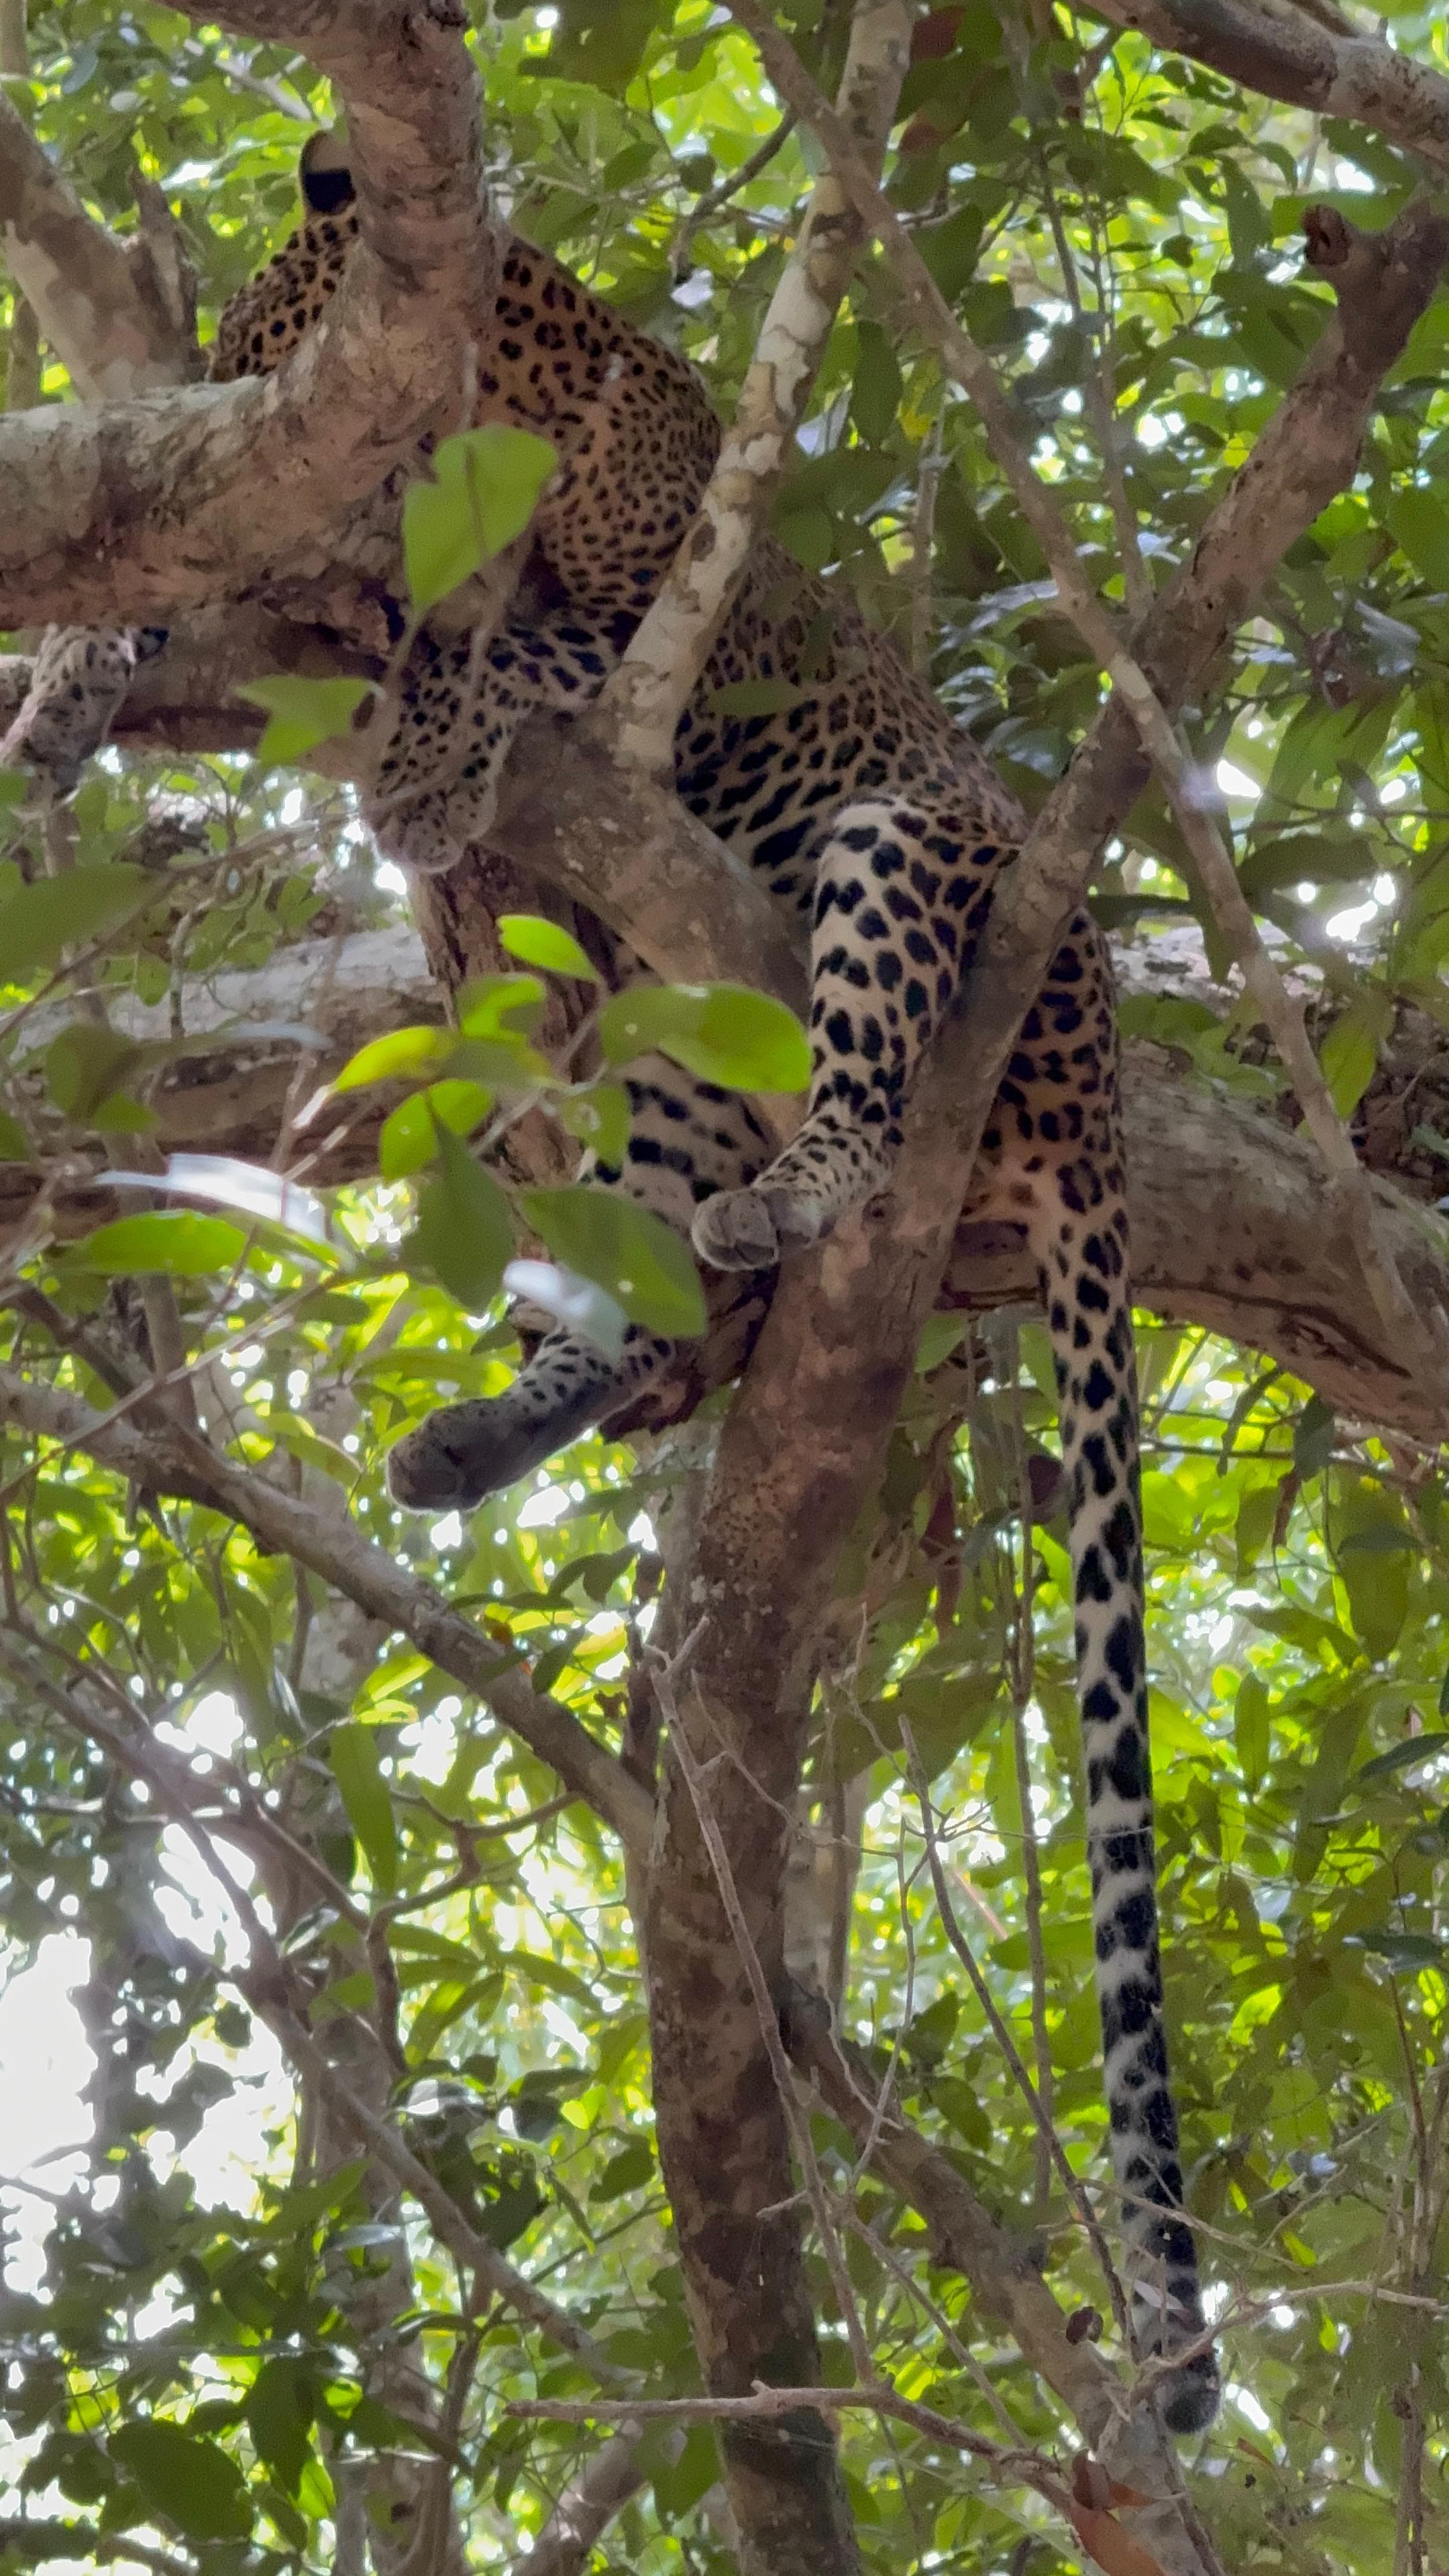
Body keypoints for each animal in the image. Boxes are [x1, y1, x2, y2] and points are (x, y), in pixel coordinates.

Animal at [30, 128, 1220, 2433]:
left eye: (261, 351)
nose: (260, 456)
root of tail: (1114, 1080)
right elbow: (209, 623)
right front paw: (67, 685)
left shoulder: (643, 634)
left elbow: (518, 667)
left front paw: (421, 754)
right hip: (675, 1057)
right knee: (651, 1293)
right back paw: (486, 1428)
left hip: (900, 863)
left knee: (861, 1084)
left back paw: (804, 1188)